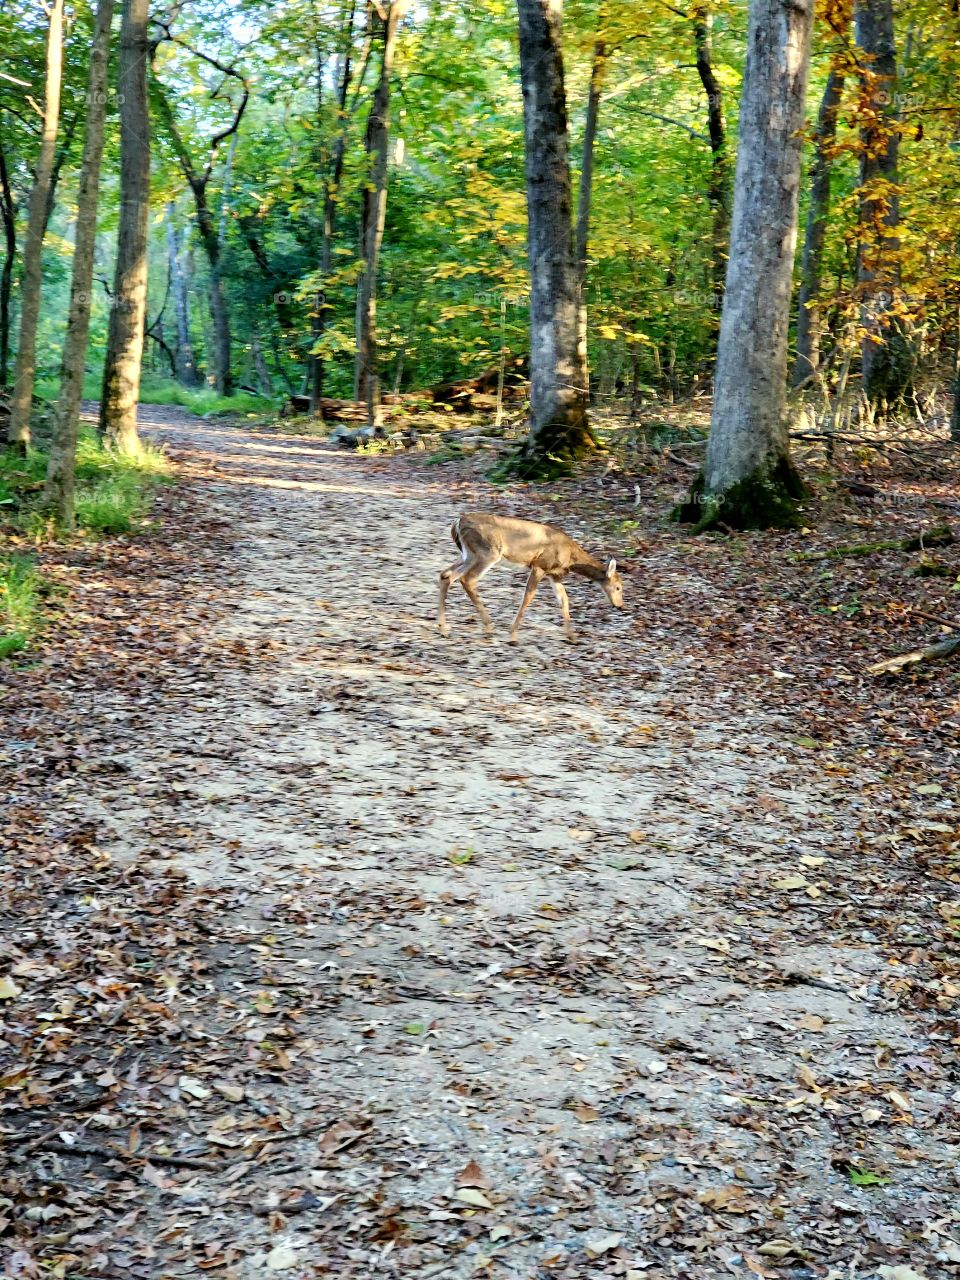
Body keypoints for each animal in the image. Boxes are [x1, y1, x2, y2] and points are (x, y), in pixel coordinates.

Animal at [437, 512, 624, 644]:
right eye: (618, 587)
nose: (620, 605)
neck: (570, 556)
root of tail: (457, 522)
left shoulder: (554, 574)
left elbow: (564, 600)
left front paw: (573, 637)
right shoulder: (540, 566)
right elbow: (528, 596)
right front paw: (512, 635)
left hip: (468, 555)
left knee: (446, 575)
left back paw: (443, 628)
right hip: (487, 552)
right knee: (467, 579)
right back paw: (488, 626)